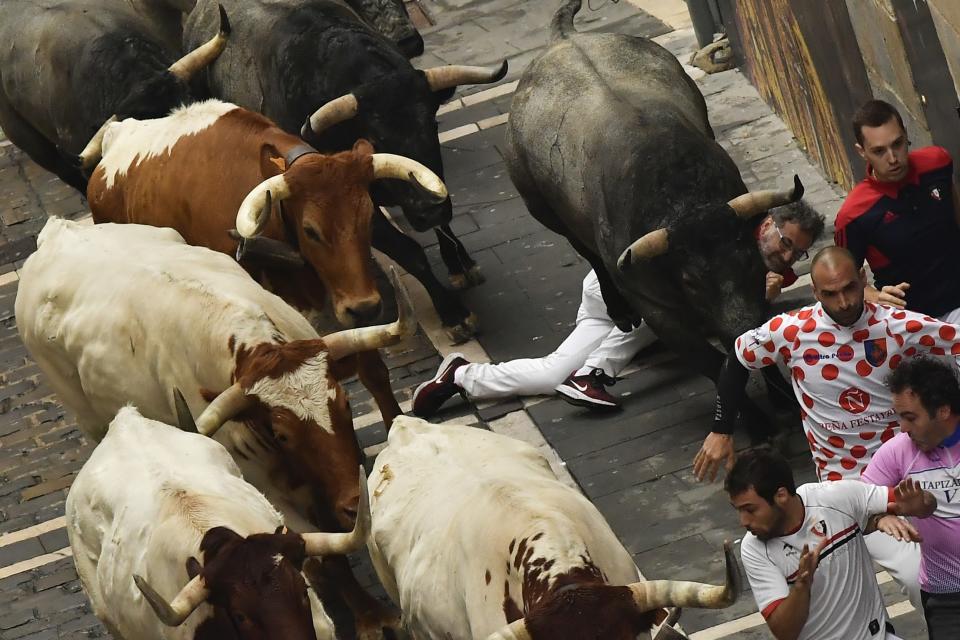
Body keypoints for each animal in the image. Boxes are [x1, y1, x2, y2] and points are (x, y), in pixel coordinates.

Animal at [506, 1, 800, 430]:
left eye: (749, 261)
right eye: (691, 280)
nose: (739, 326)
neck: (683, 199)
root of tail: (563, 38)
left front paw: (782, 398)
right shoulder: (659, 310)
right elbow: (712, 362)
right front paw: (757, 423)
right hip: (542, 209)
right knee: (586, 252)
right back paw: (617, 311)